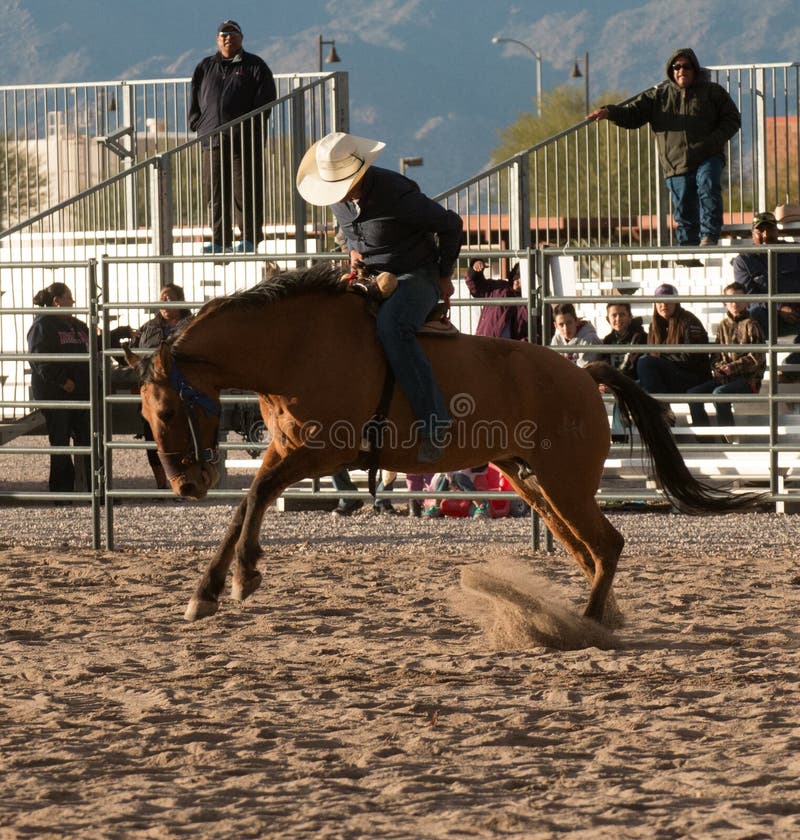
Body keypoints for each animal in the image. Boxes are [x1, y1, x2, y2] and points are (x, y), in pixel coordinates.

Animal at [123, 264, 760, 625]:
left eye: (171, 409)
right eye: (147, 413)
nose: (185, 485)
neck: (295, 346)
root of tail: (584, 375)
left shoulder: (324, 452)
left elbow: (255, 499)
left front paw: (243, 577)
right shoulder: (285, 450)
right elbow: (244, 506)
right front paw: (207, 590)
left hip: (565, 483)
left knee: (608, 544)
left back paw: (585, 624)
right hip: (535, 483)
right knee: (590, 551)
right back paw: (598, 617)